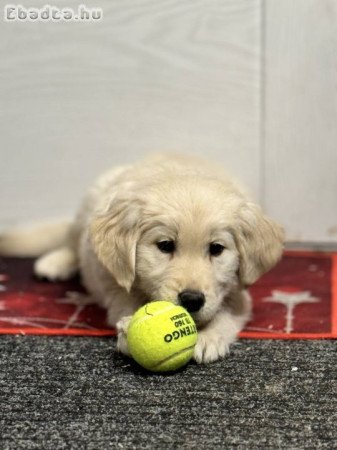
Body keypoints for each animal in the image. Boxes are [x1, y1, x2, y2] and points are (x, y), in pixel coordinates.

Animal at [15, 153, 284, 364]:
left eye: (216, 248)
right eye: (165, 245)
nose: (192, 300)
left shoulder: (239, 292)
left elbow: (226, 313)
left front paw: (210, 337)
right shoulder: (114, 280)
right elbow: (126, 301)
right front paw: (128, 329)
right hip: (87, 208)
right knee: (71, 241)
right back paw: (55, 262)